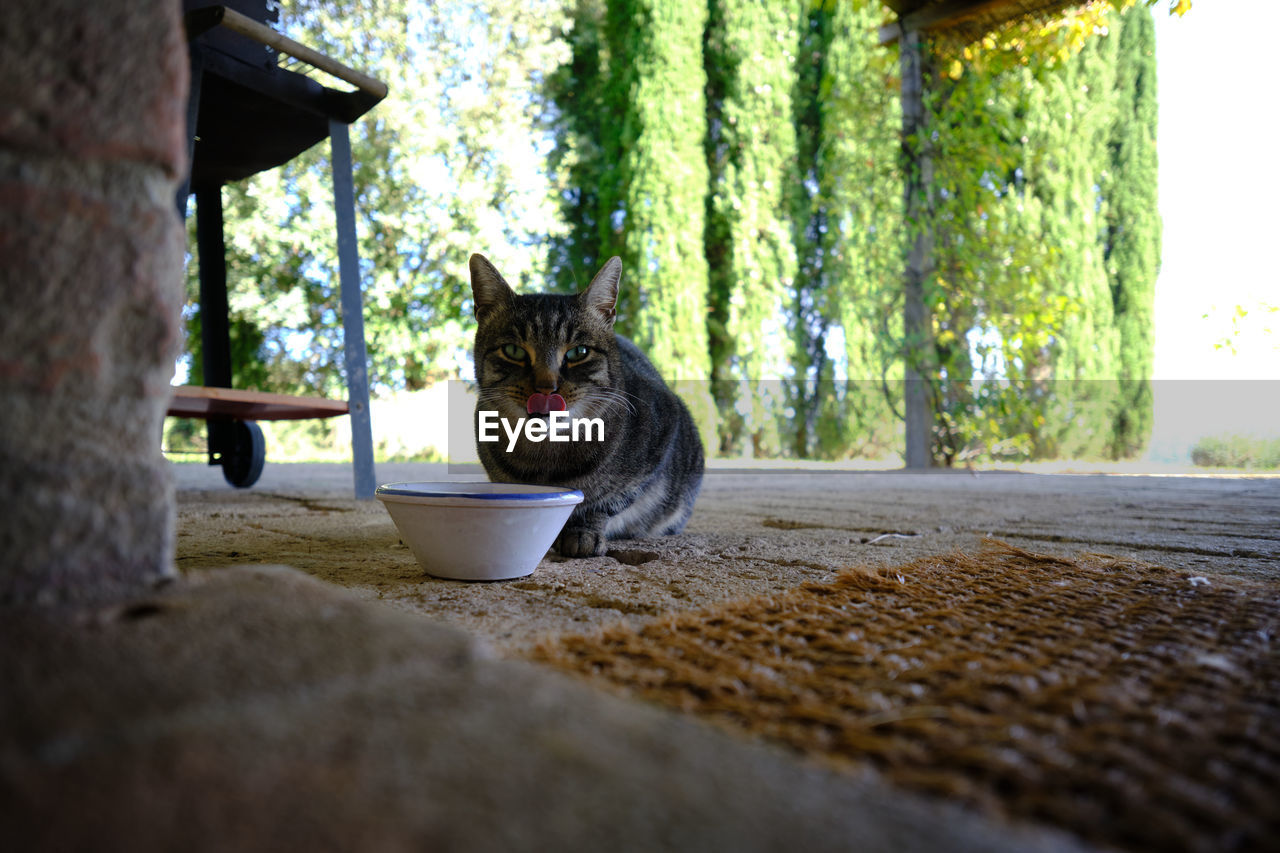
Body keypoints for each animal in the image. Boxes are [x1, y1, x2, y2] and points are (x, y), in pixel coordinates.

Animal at [471, 251, 706, 558]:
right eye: (513, 351)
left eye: (578, 352)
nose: (546, 388)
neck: (545, 454)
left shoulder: (660, 443)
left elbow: (606, 502)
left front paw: (582, 531)